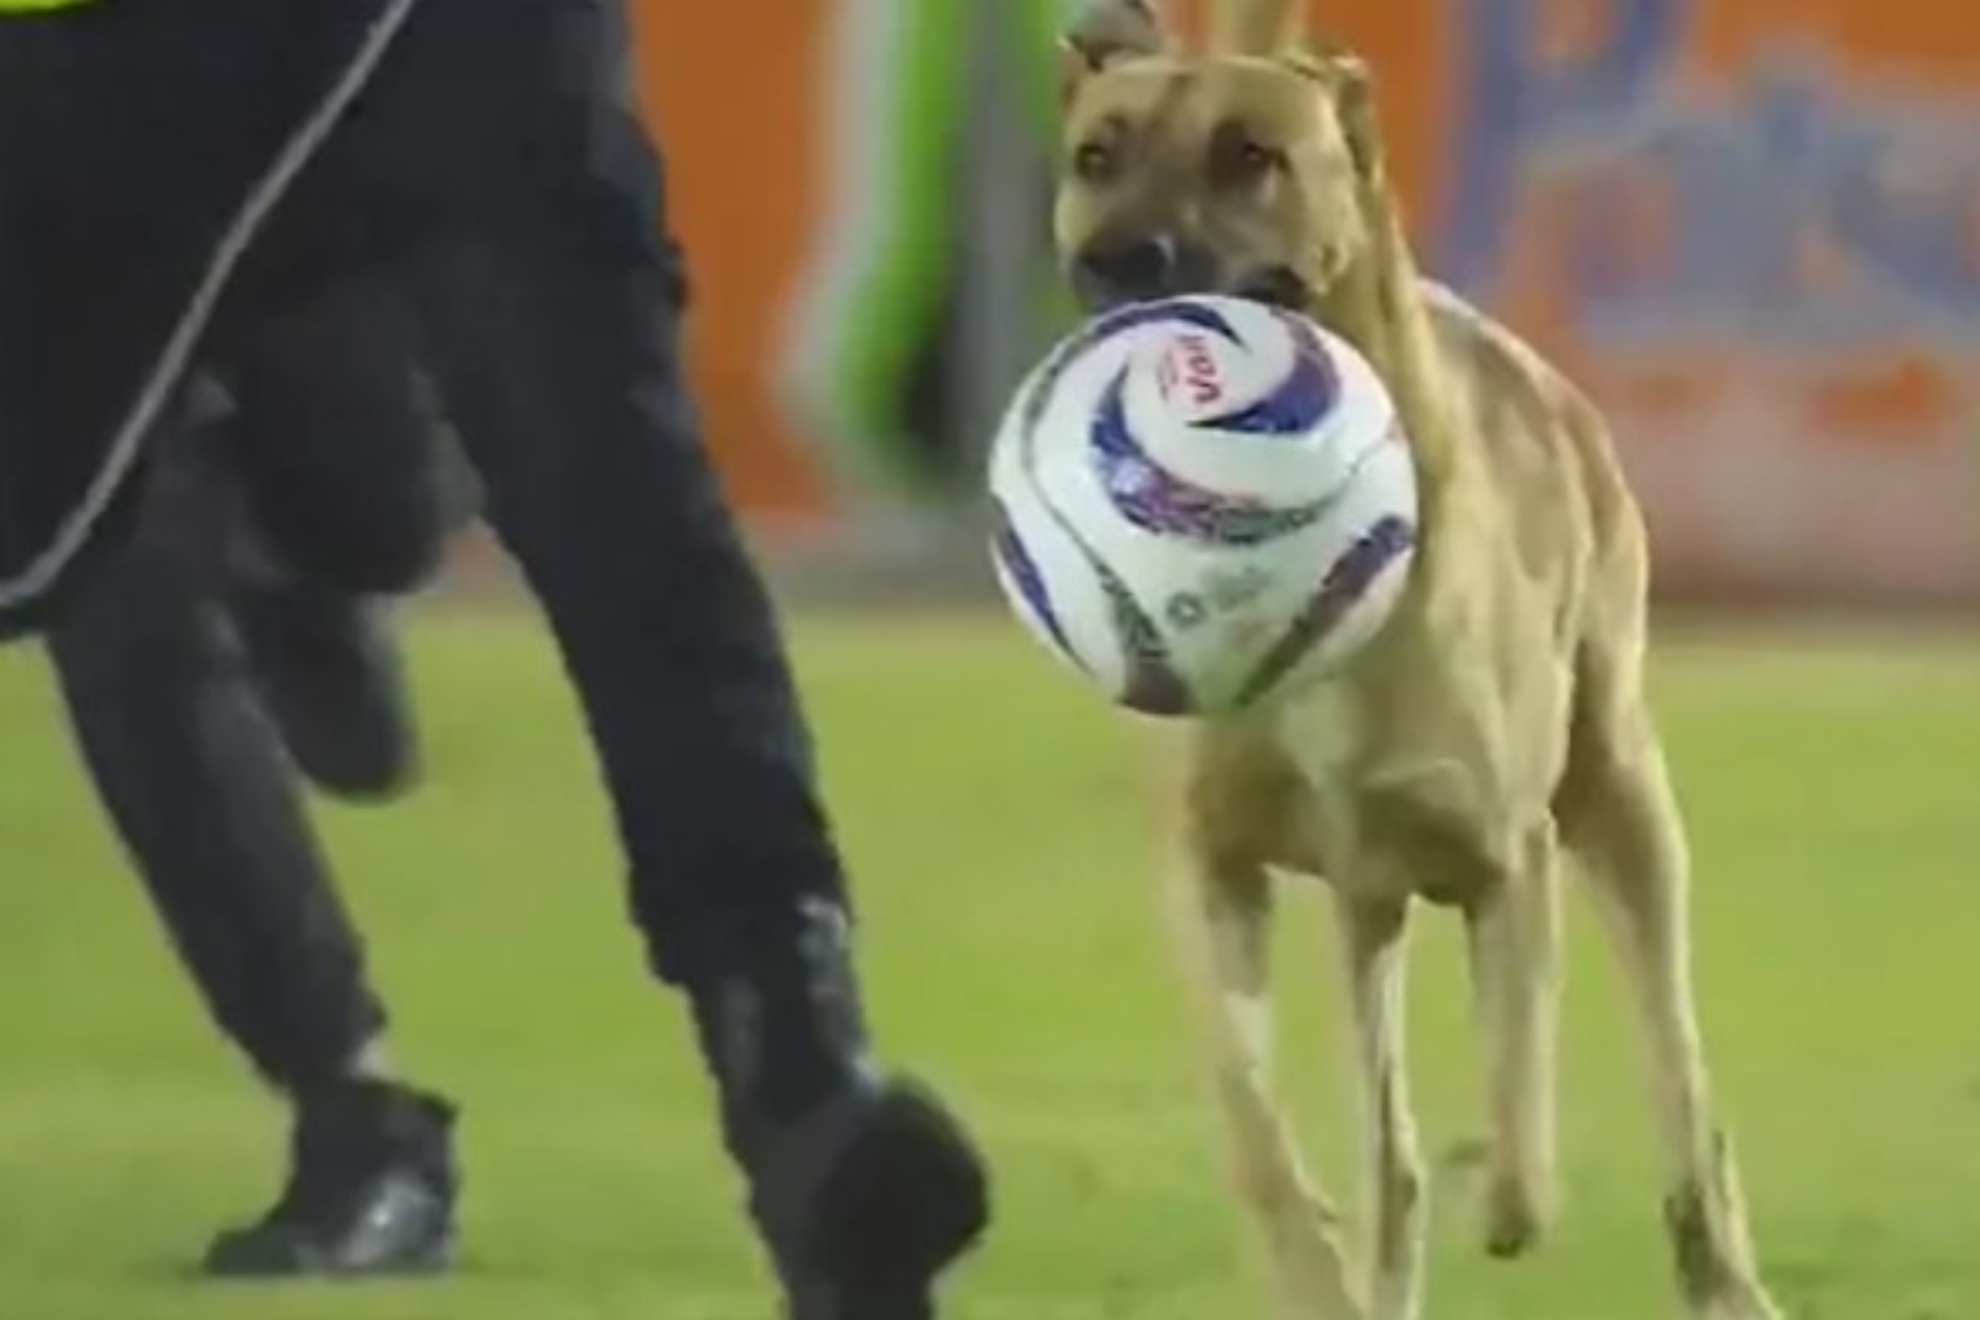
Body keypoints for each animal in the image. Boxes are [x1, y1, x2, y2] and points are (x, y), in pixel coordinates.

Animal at [1061, 2, 1789, 1320]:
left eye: (1252, 155)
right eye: (1097, 155)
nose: (1119, 262)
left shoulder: (1504, 856)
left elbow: (1518, 1107)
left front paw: (1502, 1192)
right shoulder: (1214, 869)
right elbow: (1257, 1130)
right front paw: (1317, 1258)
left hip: (1619, 798)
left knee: (1676, 1078)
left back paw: (1714, 1262)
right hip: (1368, 903)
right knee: (1385, 1143)